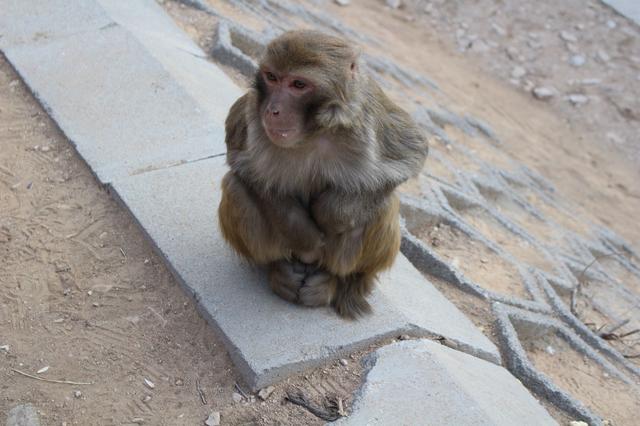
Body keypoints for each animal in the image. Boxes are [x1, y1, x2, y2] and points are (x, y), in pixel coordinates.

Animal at [218, 30, 428, 318]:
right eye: (272, 77)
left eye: (298, 84)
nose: (273, 110)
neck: (313, 134)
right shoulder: (251, 116)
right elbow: (245, 168)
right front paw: (306, 237)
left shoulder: (368, 114)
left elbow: (412, 154)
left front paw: (331, 214)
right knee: (235, 186)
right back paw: (278, 269)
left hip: (338, 259)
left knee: (383, 204)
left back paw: (338, 281)